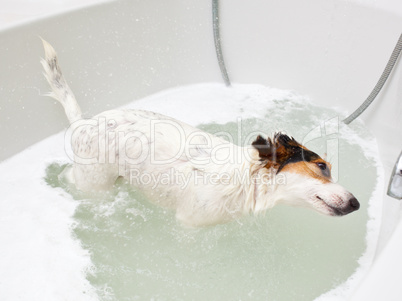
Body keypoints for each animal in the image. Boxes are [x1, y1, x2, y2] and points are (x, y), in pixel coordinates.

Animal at [41, 39, 362, 225]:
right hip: (95, 183)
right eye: (321, 166)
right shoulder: (191, 224)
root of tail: (84, 122)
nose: (356, 203)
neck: (243, 181)